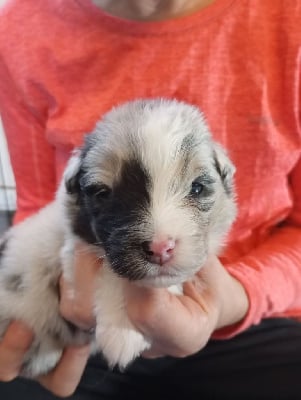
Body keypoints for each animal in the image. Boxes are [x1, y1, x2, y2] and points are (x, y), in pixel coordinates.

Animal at [0, 98, 236, 376]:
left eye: (197, 188)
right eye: (103, 193)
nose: (160, 248)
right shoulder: (73, 251)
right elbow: (112, 273)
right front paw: (122, 334)